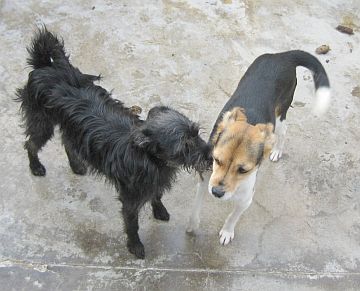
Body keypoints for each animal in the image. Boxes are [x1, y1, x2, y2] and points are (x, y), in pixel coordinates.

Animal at [16, 28, 211, 260]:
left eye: (197, 133)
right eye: (184, 146)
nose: (211, 154)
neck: (151, 159)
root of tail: (45, 65)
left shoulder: (154, 183)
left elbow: (156, 195)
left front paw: (159, 210)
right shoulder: (130, 200)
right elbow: (132, 225)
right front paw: (135, 246)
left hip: (70, 128)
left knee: (67, 142)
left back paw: (76, 165)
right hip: (42, 123)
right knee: (31, 144)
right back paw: (35, 166)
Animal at [187, 50, 330, 246]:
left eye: (243, 170)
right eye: (217, 160)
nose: (216, 193)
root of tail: (283, 56)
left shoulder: (246, 199)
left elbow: (233, 216)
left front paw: (227, 231)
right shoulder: (205, 181)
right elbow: (195, 209)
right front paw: (192, 226)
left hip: (280, 116)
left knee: (283, 132)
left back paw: (277, 151)